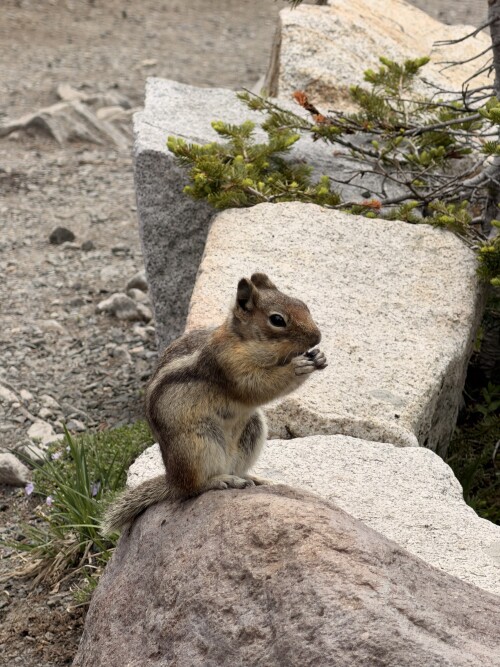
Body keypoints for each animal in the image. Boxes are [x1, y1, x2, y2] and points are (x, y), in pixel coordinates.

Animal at [101, 272, 327, 534]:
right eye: (277, 320)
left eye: (303, 305)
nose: (317, 337)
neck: (245, 342)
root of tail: (172, 480)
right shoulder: (228, 365)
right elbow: (258, 386)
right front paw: (297, 366)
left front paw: (319, 357)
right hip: (198, 443)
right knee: (193, 489)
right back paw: (220, 480)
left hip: (252, 429)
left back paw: (252, 478)